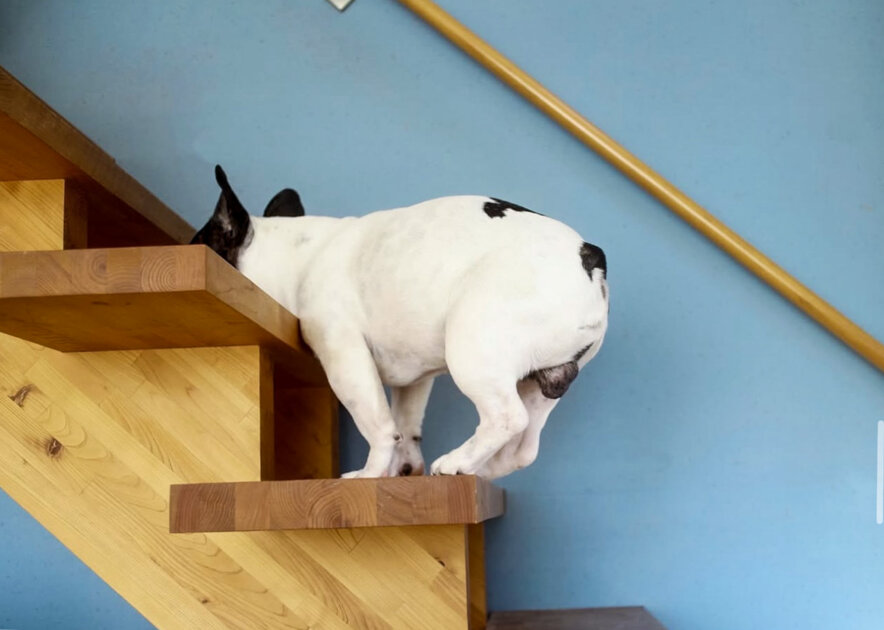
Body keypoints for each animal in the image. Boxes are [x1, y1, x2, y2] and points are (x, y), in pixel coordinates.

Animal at [192, 166, 608, 479]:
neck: (295, 258)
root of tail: (590, 258)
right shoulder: (415, 381)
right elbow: (406, 425)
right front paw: (403, 468)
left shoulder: (343, 355)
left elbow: (377, 424)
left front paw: (370, 475)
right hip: (542, 382)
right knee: (524, 447)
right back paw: (479, 469)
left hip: (473, 348)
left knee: (506, 417)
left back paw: (456, 462)